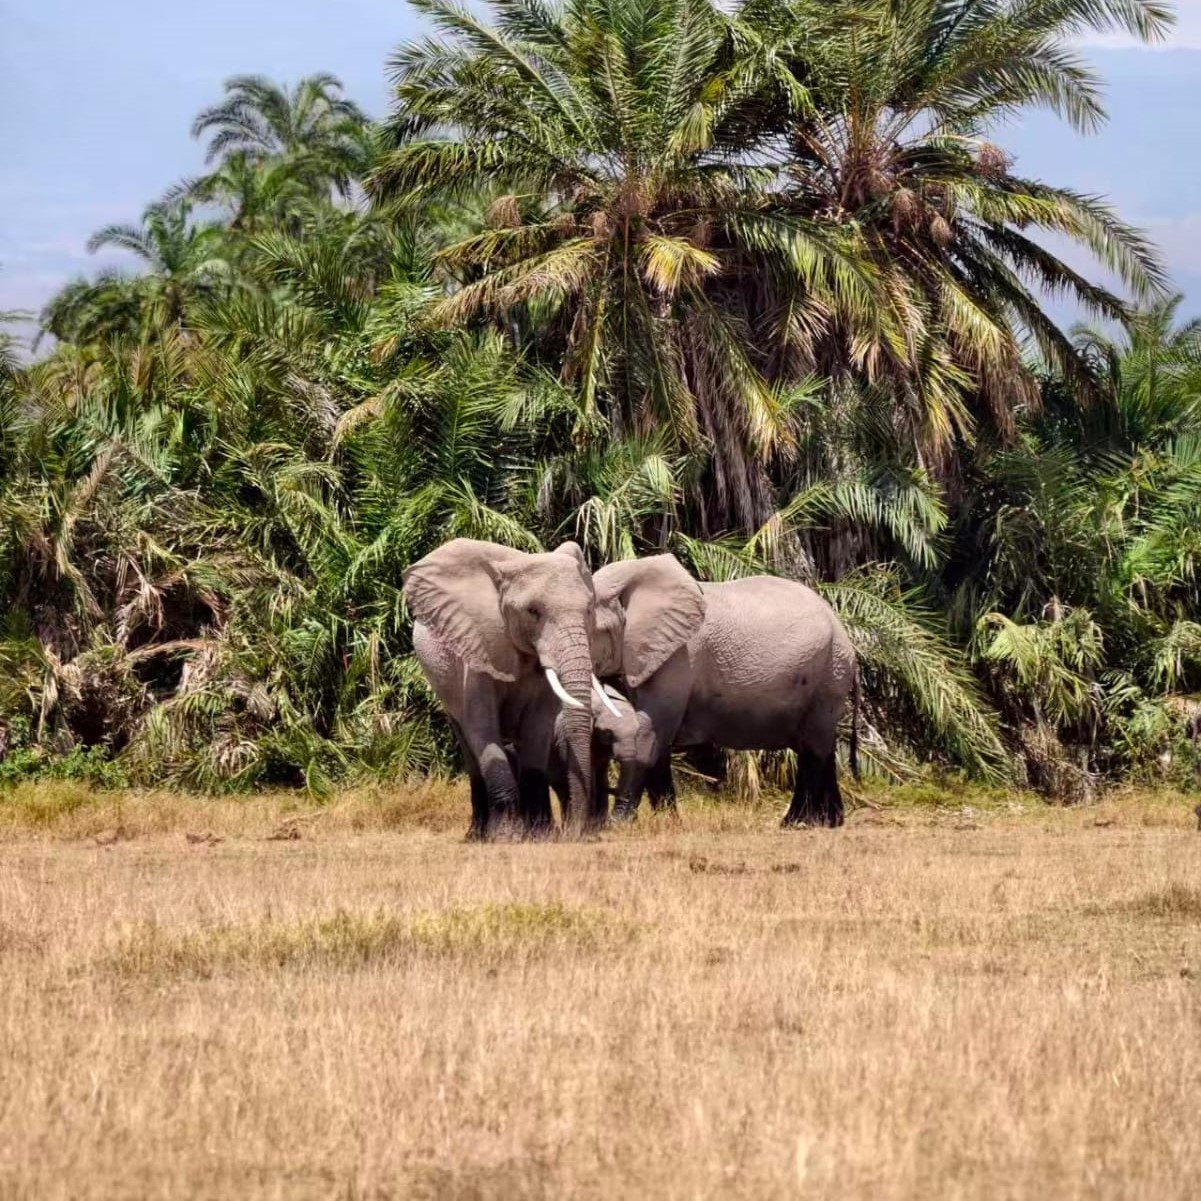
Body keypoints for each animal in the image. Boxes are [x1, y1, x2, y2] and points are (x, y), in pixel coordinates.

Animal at [403, 538, 611, 839]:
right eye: (533, 612)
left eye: (588, 610)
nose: (574, 832)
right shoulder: (477, 649)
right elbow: (482, 727)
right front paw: (506, 837)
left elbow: (537, 729)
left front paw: (539, 836)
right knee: (468, 743)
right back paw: (477, 835)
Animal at [592, 560, 860, 827]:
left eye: (596, 629)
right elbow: (658, 737)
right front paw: (669, 821)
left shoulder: (681, 655)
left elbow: (652, 729)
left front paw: (617, 824)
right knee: (816, 746)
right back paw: (827, 822)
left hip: (828, 676)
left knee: (813, 748)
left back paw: (799, 823)